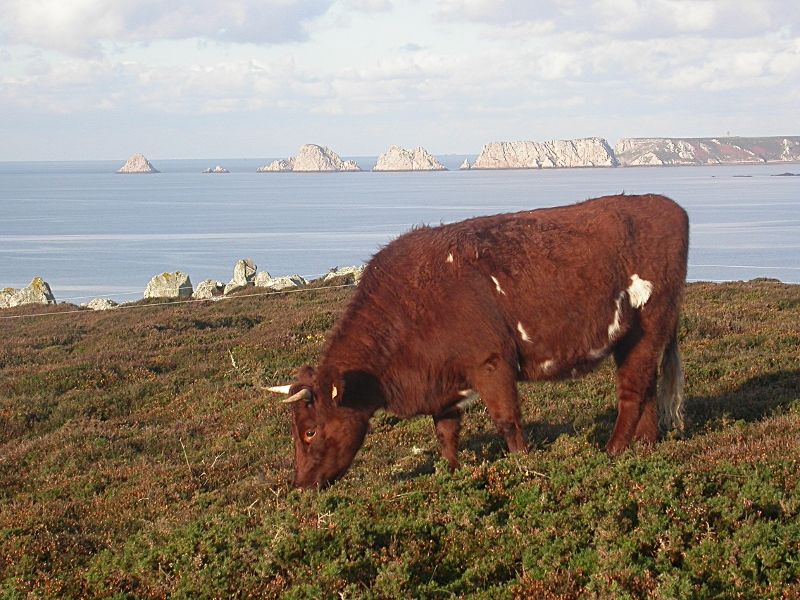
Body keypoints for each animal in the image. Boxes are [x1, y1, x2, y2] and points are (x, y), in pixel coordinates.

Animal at [268, 195, 688, 490]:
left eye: (309, 430)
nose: (299, 485)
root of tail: (665, 204)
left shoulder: (491, 362)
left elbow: (507, 421)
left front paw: (523, 464)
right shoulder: (444, 382)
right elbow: (445, 432)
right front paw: (453, 474)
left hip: (651, 322)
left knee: (632, 392)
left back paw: (613, 451)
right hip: (635, 337)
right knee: (646, 388)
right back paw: (644, 447)